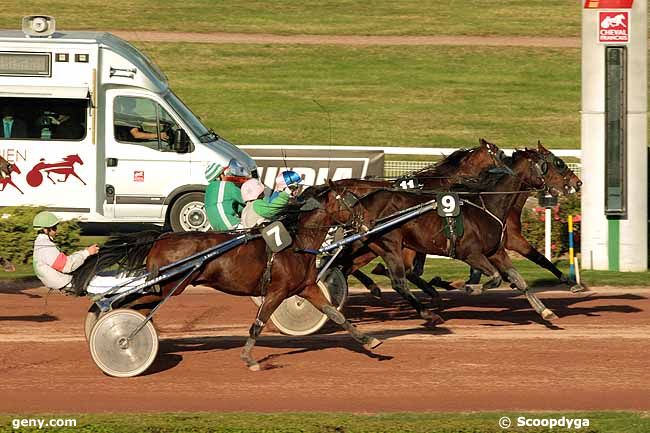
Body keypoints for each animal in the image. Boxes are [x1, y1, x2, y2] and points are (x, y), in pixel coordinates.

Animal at [73, 186, 382, 372]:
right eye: (349, 202)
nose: (367, 224)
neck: (295, 242)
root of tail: (161, 237)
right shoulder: (277, 291)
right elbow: (257, 325)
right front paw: (250, 360)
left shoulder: (306, 288)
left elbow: (337, 315)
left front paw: (370, 342)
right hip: (169, 286)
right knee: (125, 302)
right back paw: (122, 334)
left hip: (165, 287)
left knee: (129, 303)